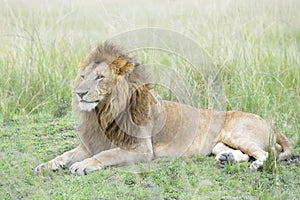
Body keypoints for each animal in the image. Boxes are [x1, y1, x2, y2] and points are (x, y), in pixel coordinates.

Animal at [34, 42, 292, 175]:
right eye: (82, 76)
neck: (103, 112)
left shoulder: (141, 149)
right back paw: (225, 159)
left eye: (99, 77)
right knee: (242, 152)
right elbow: (64, 155)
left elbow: (105, 155)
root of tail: (270, 123)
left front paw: (83, 166)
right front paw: (45, 166)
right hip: (219, 143)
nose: (80, 93)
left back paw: (257, 164)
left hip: (236, 132)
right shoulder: (89, 144)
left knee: (269, 152)